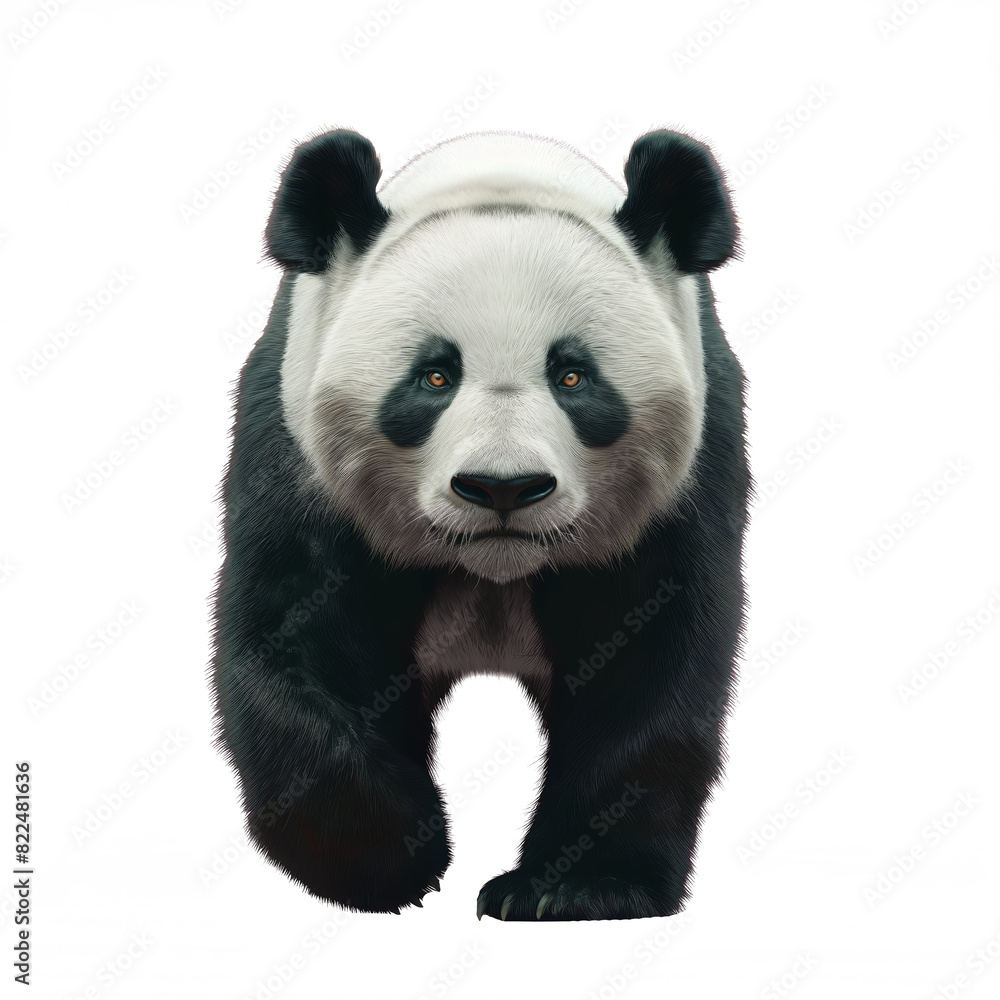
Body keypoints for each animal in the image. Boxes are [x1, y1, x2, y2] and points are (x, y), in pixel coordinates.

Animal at [211, 126, 750, 922]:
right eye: (434, 377)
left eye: (573, 376)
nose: (504, 488)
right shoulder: (297, 456)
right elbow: (292, 642)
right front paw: (394, 857)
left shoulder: (682, 485)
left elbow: (650, 666)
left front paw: (578, 887)